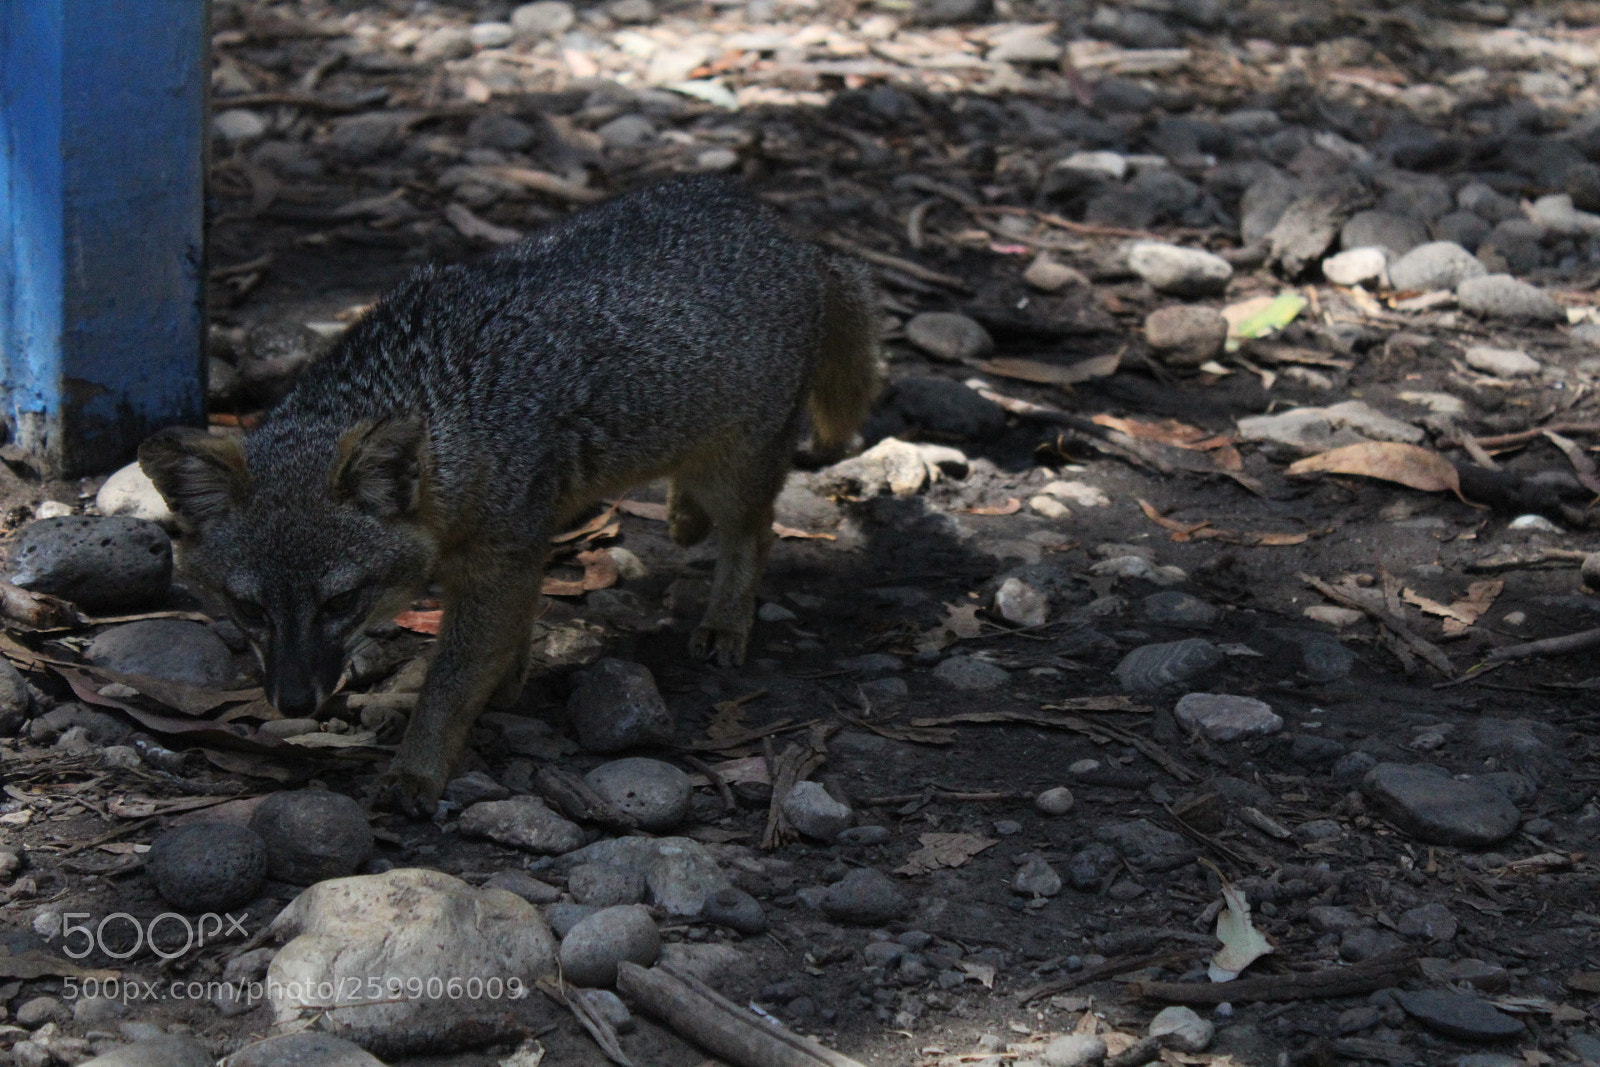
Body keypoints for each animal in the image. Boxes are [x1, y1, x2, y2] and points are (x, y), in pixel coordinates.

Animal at [138, 177, 880, 815]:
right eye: (248, 608)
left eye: (341, 602)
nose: (294, 702)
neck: (455, 406)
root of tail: (796, 241)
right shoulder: (513, 550)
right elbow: (503, 640)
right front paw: (500, 685)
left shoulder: (500, 556)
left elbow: (453, 678)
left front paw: (418, 766)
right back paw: (683, 514)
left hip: (739, 465)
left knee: (753, 533)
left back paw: (727, 616)